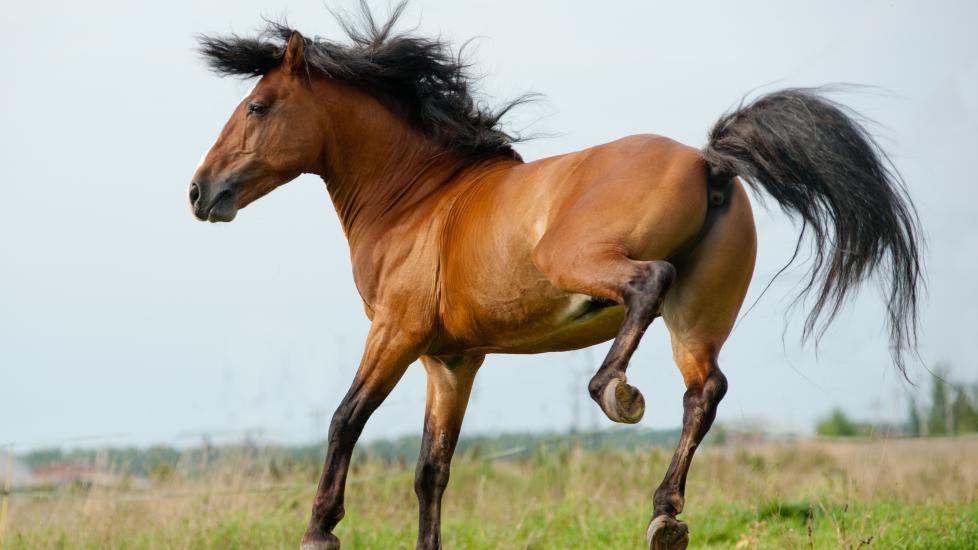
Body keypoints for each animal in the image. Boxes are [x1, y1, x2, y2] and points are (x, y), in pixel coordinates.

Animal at [187, 5, 920, 550]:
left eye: (258, 107)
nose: (199, 192)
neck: (417, 200)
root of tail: (709, 161)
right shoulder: (451, 361)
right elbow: (431, 469)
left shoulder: (396, 333)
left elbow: (346, 419)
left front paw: (319, 530)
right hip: (699, 319)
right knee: (704, 390)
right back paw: (664, 515)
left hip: (579, 263)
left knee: (647, 285)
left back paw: (614, 391)